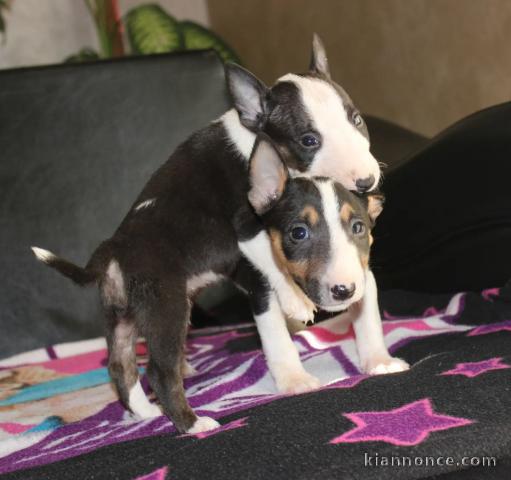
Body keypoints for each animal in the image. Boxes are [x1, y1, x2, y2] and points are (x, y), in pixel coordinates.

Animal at [32, 136, 390, 436]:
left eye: (358, 228)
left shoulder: (364, 276)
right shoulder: (257, 279)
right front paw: (296, 378)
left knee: (119, 365)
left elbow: (368, 317)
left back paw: (145, 412)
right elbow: (278, 337)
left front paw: (380, 363)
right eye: (298, 232)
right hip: (167, 307)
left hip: (122, 315)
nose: (343, 290)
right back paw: (192, 424)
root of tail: (113, 248)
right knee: (159, 372)